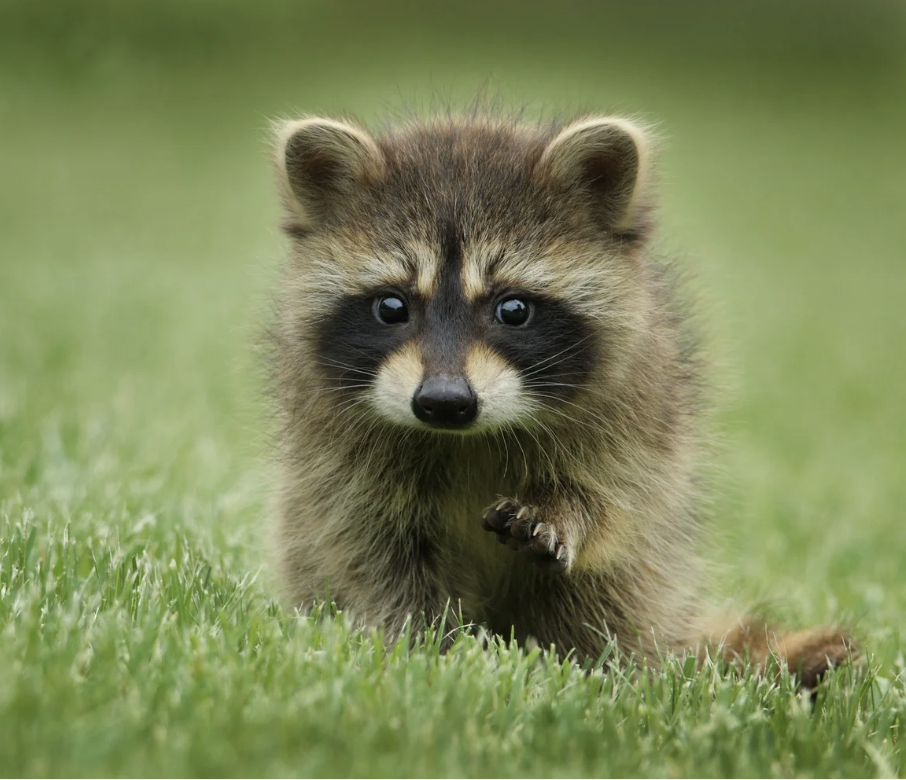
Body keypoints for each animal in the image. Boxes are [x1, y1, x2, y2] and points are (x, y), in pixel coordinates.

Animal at [268, 112, 854, 686]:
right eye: (391, 307)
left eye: (513, 310)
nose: (444, 401)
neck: (468, 437)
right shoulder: (338, 455)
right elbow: (372, 551)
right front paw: (425, 647)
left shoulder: (639, 409)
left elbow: (615, 499)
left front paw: (566, 511)